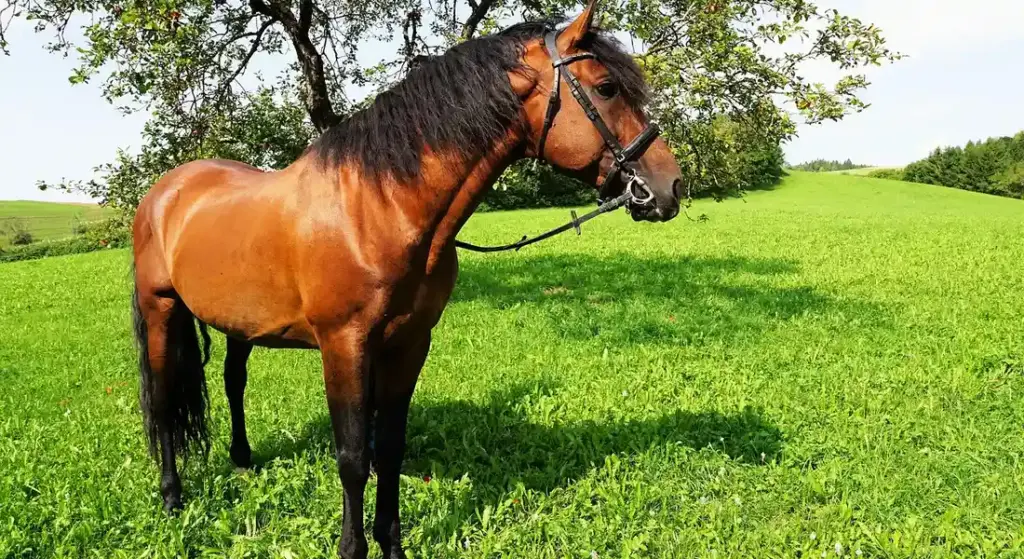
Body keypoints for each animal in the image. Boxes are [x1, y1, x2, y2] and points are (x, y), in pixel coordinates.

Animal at [130, 2, 683, 557]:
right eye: (607, 87)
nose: (670, 186)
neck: (379, 207)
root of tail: (164, 191)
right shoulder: (344, 345)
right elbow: (354, 457)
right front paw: (352, 547)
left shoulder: (410, 342)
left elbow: (389, 448)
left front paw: (391, 544)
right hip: (161, 310)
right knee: (162, 400)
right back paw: (172, 497)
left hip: (239, 325)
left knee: (233, 380)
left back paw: (242, 460)